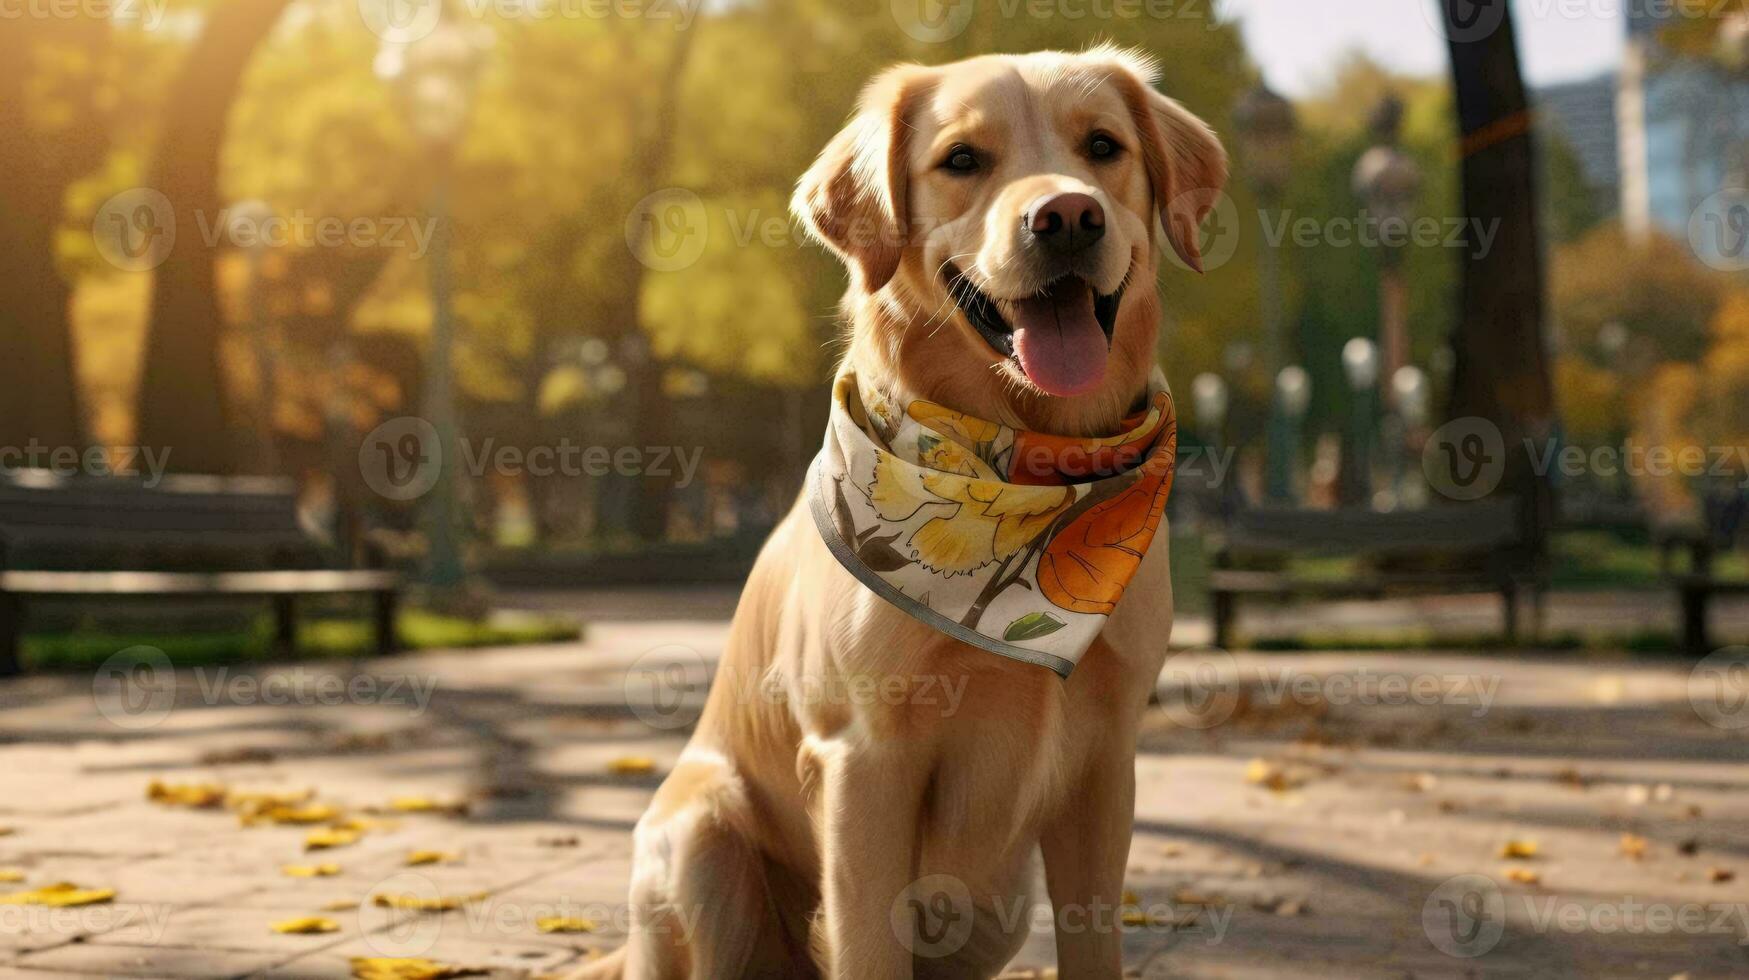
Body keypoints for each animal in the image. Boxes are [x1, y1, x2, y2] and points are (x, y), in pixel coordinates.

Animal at [570, 45, 1217, 980]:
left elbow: (1094, 943)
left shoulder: (1105, 763)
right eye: (961, 160)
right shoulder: (864, 758)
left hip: (996, 906)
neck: (1025, 463)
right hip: (700, 835)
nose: (1066, 216)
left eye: (1103, 146)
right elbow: (869, 943)